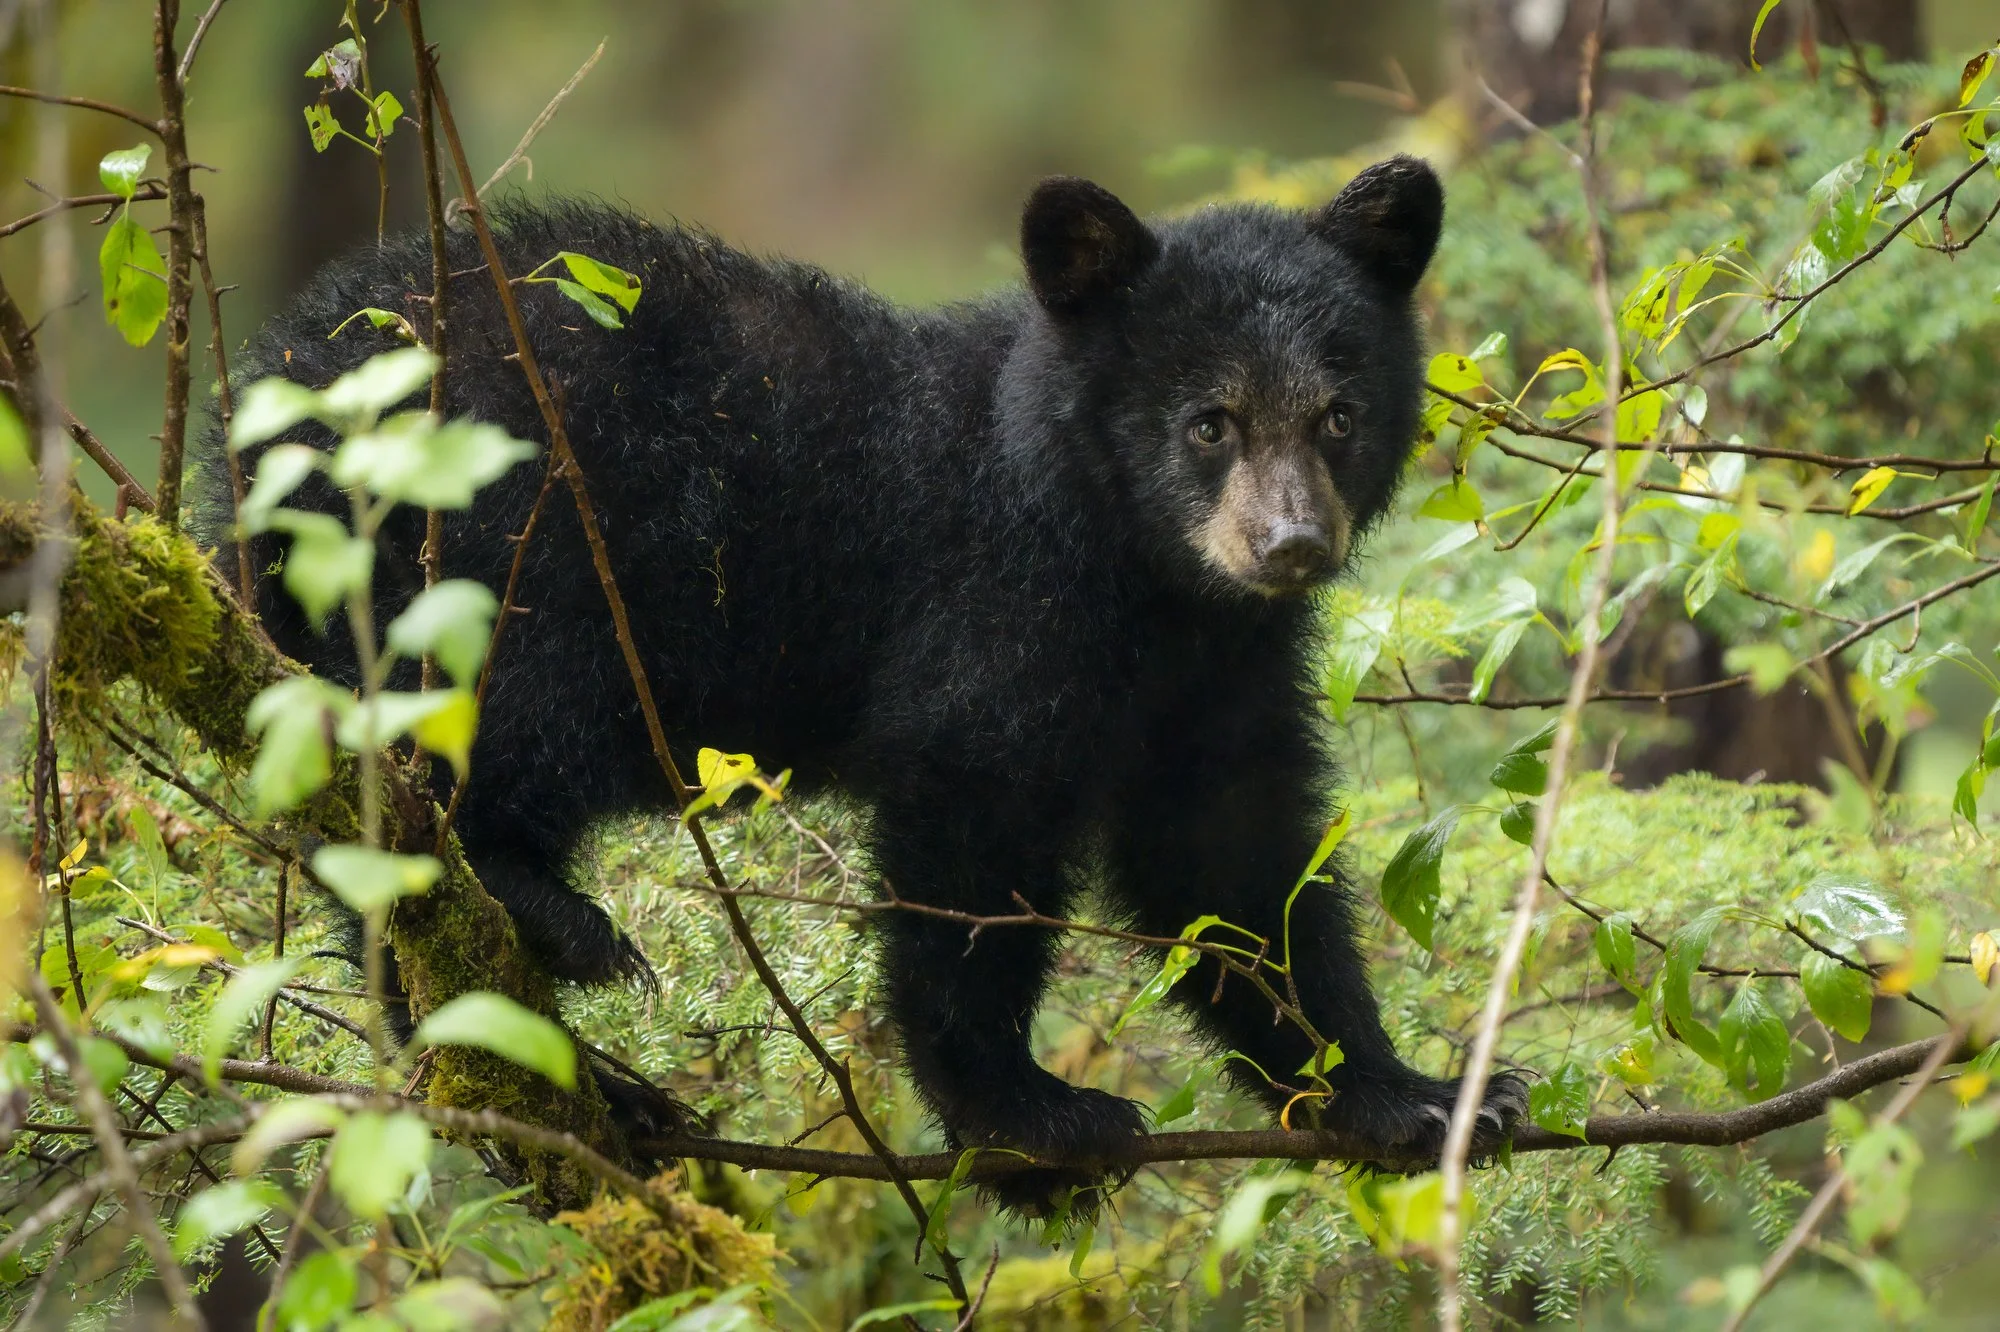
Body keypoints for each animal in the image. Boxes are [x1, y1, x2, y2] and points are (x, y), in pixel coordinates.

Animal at [199, 154, 1527, 1215]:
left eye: (1337, 413)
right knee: (485, 743)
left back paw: (586, 1089)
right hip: (503, 558)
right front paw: (1033, 1117)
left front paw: (1410, 1092)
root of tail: (274, 403)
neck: (1143, 581)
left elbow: (1237, 867)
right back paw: (559, 936)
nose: (1288, 545)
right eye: (1209, 422)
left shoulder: (1221, 675)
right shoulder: (996, 605)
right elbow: (970, 828)